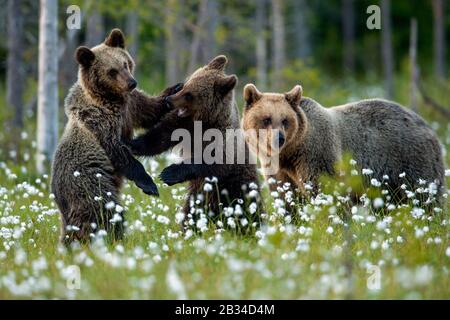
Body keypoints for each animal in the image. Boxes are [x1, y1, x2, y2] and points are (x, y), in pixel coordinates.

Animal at [51, 29, 181, 245]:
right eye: (112, 71)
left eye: (125, 63)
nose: (132, 82)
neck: (112, 99)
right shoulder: (100, 121)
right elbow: (119, 151)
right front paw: (149, 184)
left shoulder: (131, 106)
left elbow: (150, 109)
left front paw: (176, 88)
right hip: (90, 183)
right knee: (104, 211)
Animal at [128, 55, 262, 230]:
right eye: (185, 85)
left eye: (189, 94)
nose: (168, 100)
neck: (202, 122)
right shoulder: (181, 125)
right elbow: (158, 138)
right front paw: (131, 144)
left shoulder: (222, 141)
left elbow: (212, 162)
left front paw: (168, 173)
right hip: (199, 198)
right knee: (190, 214)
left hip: (238, 187)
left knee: (249, 210)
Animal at [243, 84, 446, 206]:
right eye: (266, 119)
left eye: (285, 120)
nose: (279, 139)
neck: (291, 153)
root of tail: (428, 126)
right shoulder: (280, 170)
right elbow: (285, 197)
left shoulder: (316, 154)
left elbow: (325, 188)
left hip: (410, 161)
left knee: (424, 196)